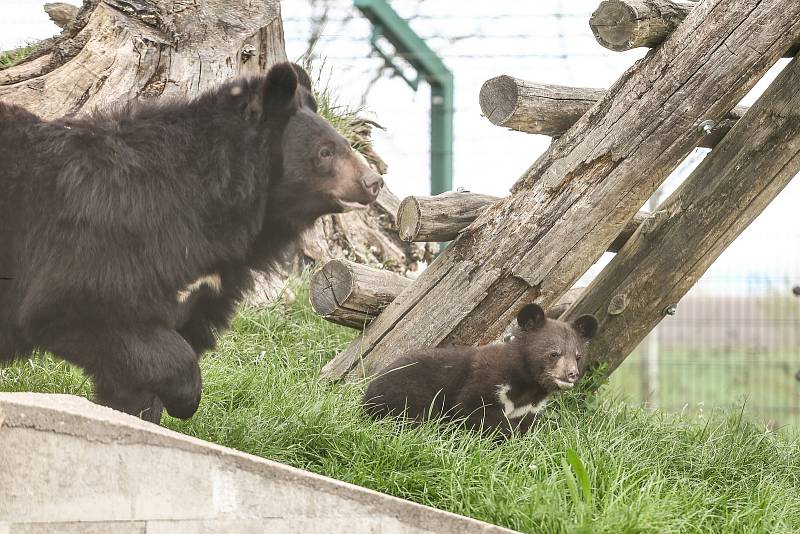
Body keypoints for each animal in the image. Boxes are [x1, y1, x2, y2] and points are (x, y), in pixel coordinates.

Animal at [0, 61, 384, 422]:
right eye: (325, 152)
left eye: (346, 146)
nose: (374, 182)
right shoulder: (103, 248)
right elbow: (73, 307)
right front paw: (184, 400)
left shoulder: (204, 283)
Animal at [366, 306, 596, 440]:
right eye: (554, 353)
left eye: (578, 356)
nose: (572, 374)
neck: (528, 388)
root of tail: (366, 396)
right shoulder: (484, 381)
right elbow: (469, 408)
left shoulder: (530, 410)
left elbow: (525, 426)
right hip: (408, 391)